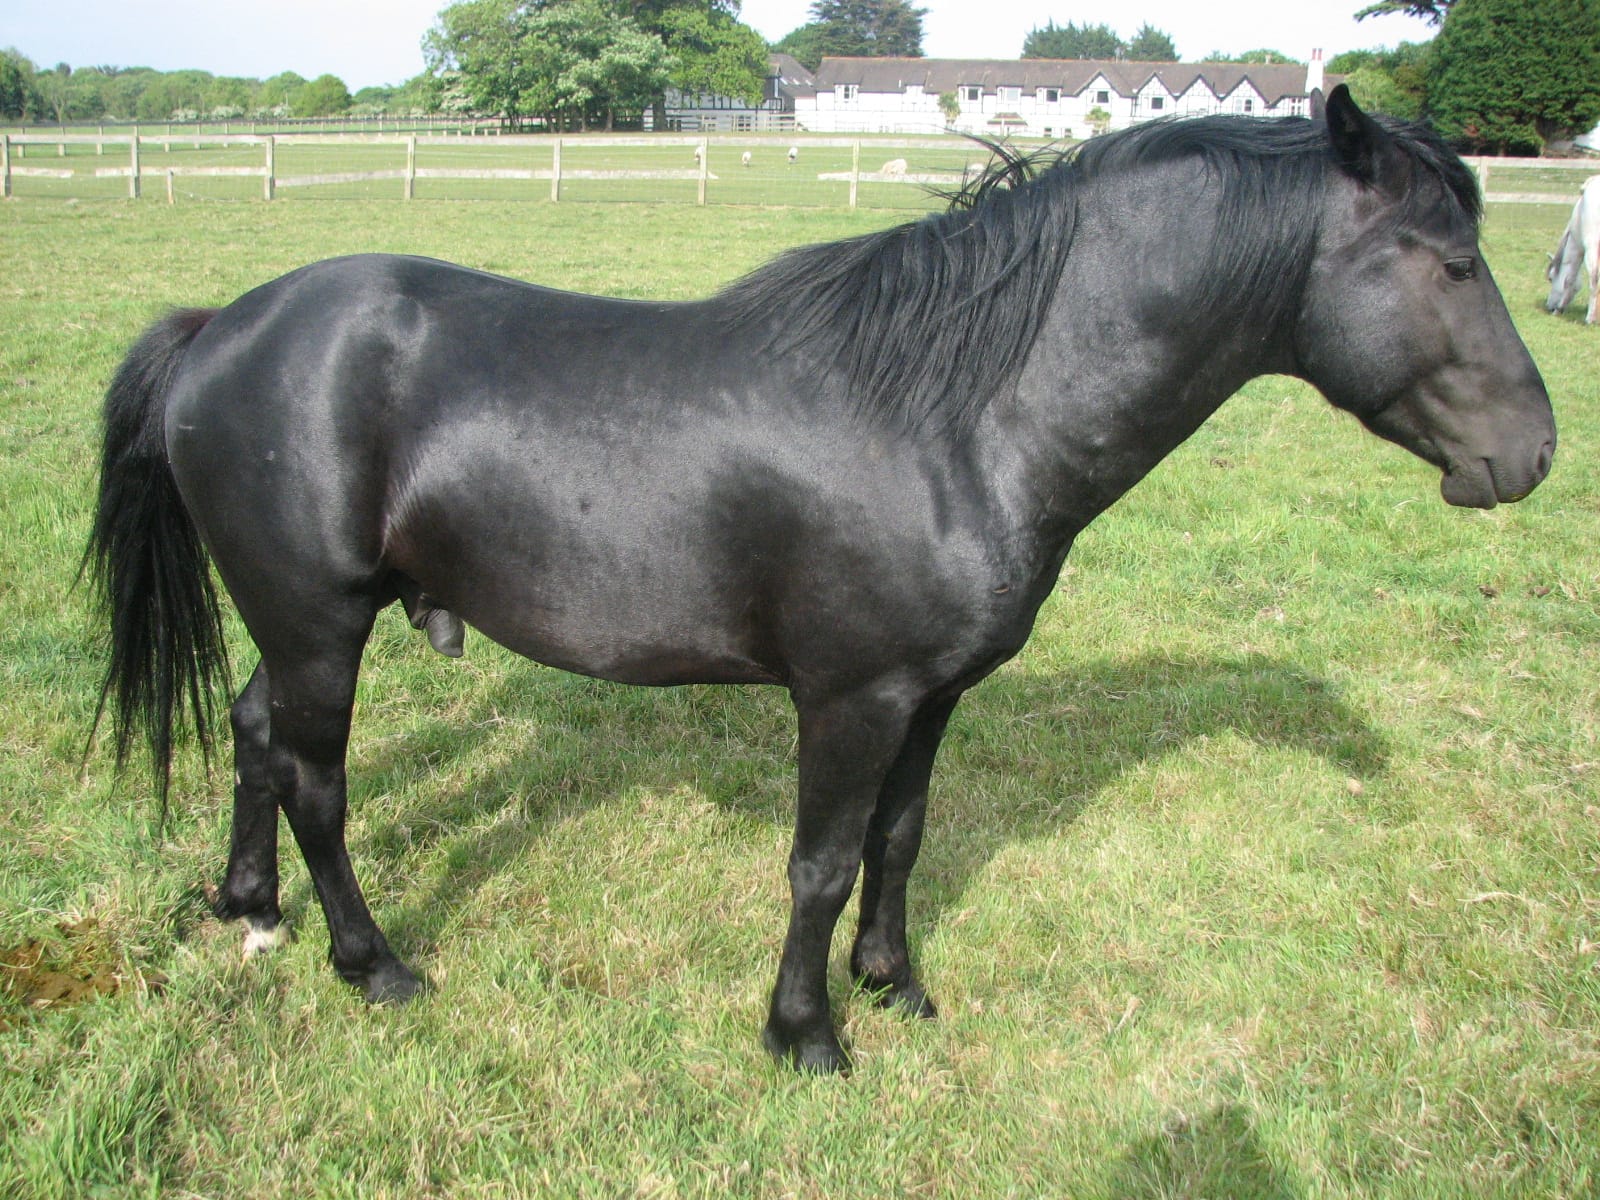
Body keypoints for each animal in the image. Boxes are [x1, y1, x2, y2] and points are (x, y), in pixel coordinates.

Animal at [87, 91, 1548, 1068]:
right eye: (1449, 261)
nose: (1529, 453)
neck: (957, 415)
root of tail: (225, 328)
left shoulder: (933, 695)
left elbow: (900, 841)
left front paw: (896, 987)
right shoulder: (853, 698)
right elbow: (822, 863)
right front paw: (803, 1032)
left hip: (295, 628)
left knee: (256, 736)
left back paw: (250, 911)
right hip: (319, 623)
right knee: (317, 785)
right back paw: (371, 963)